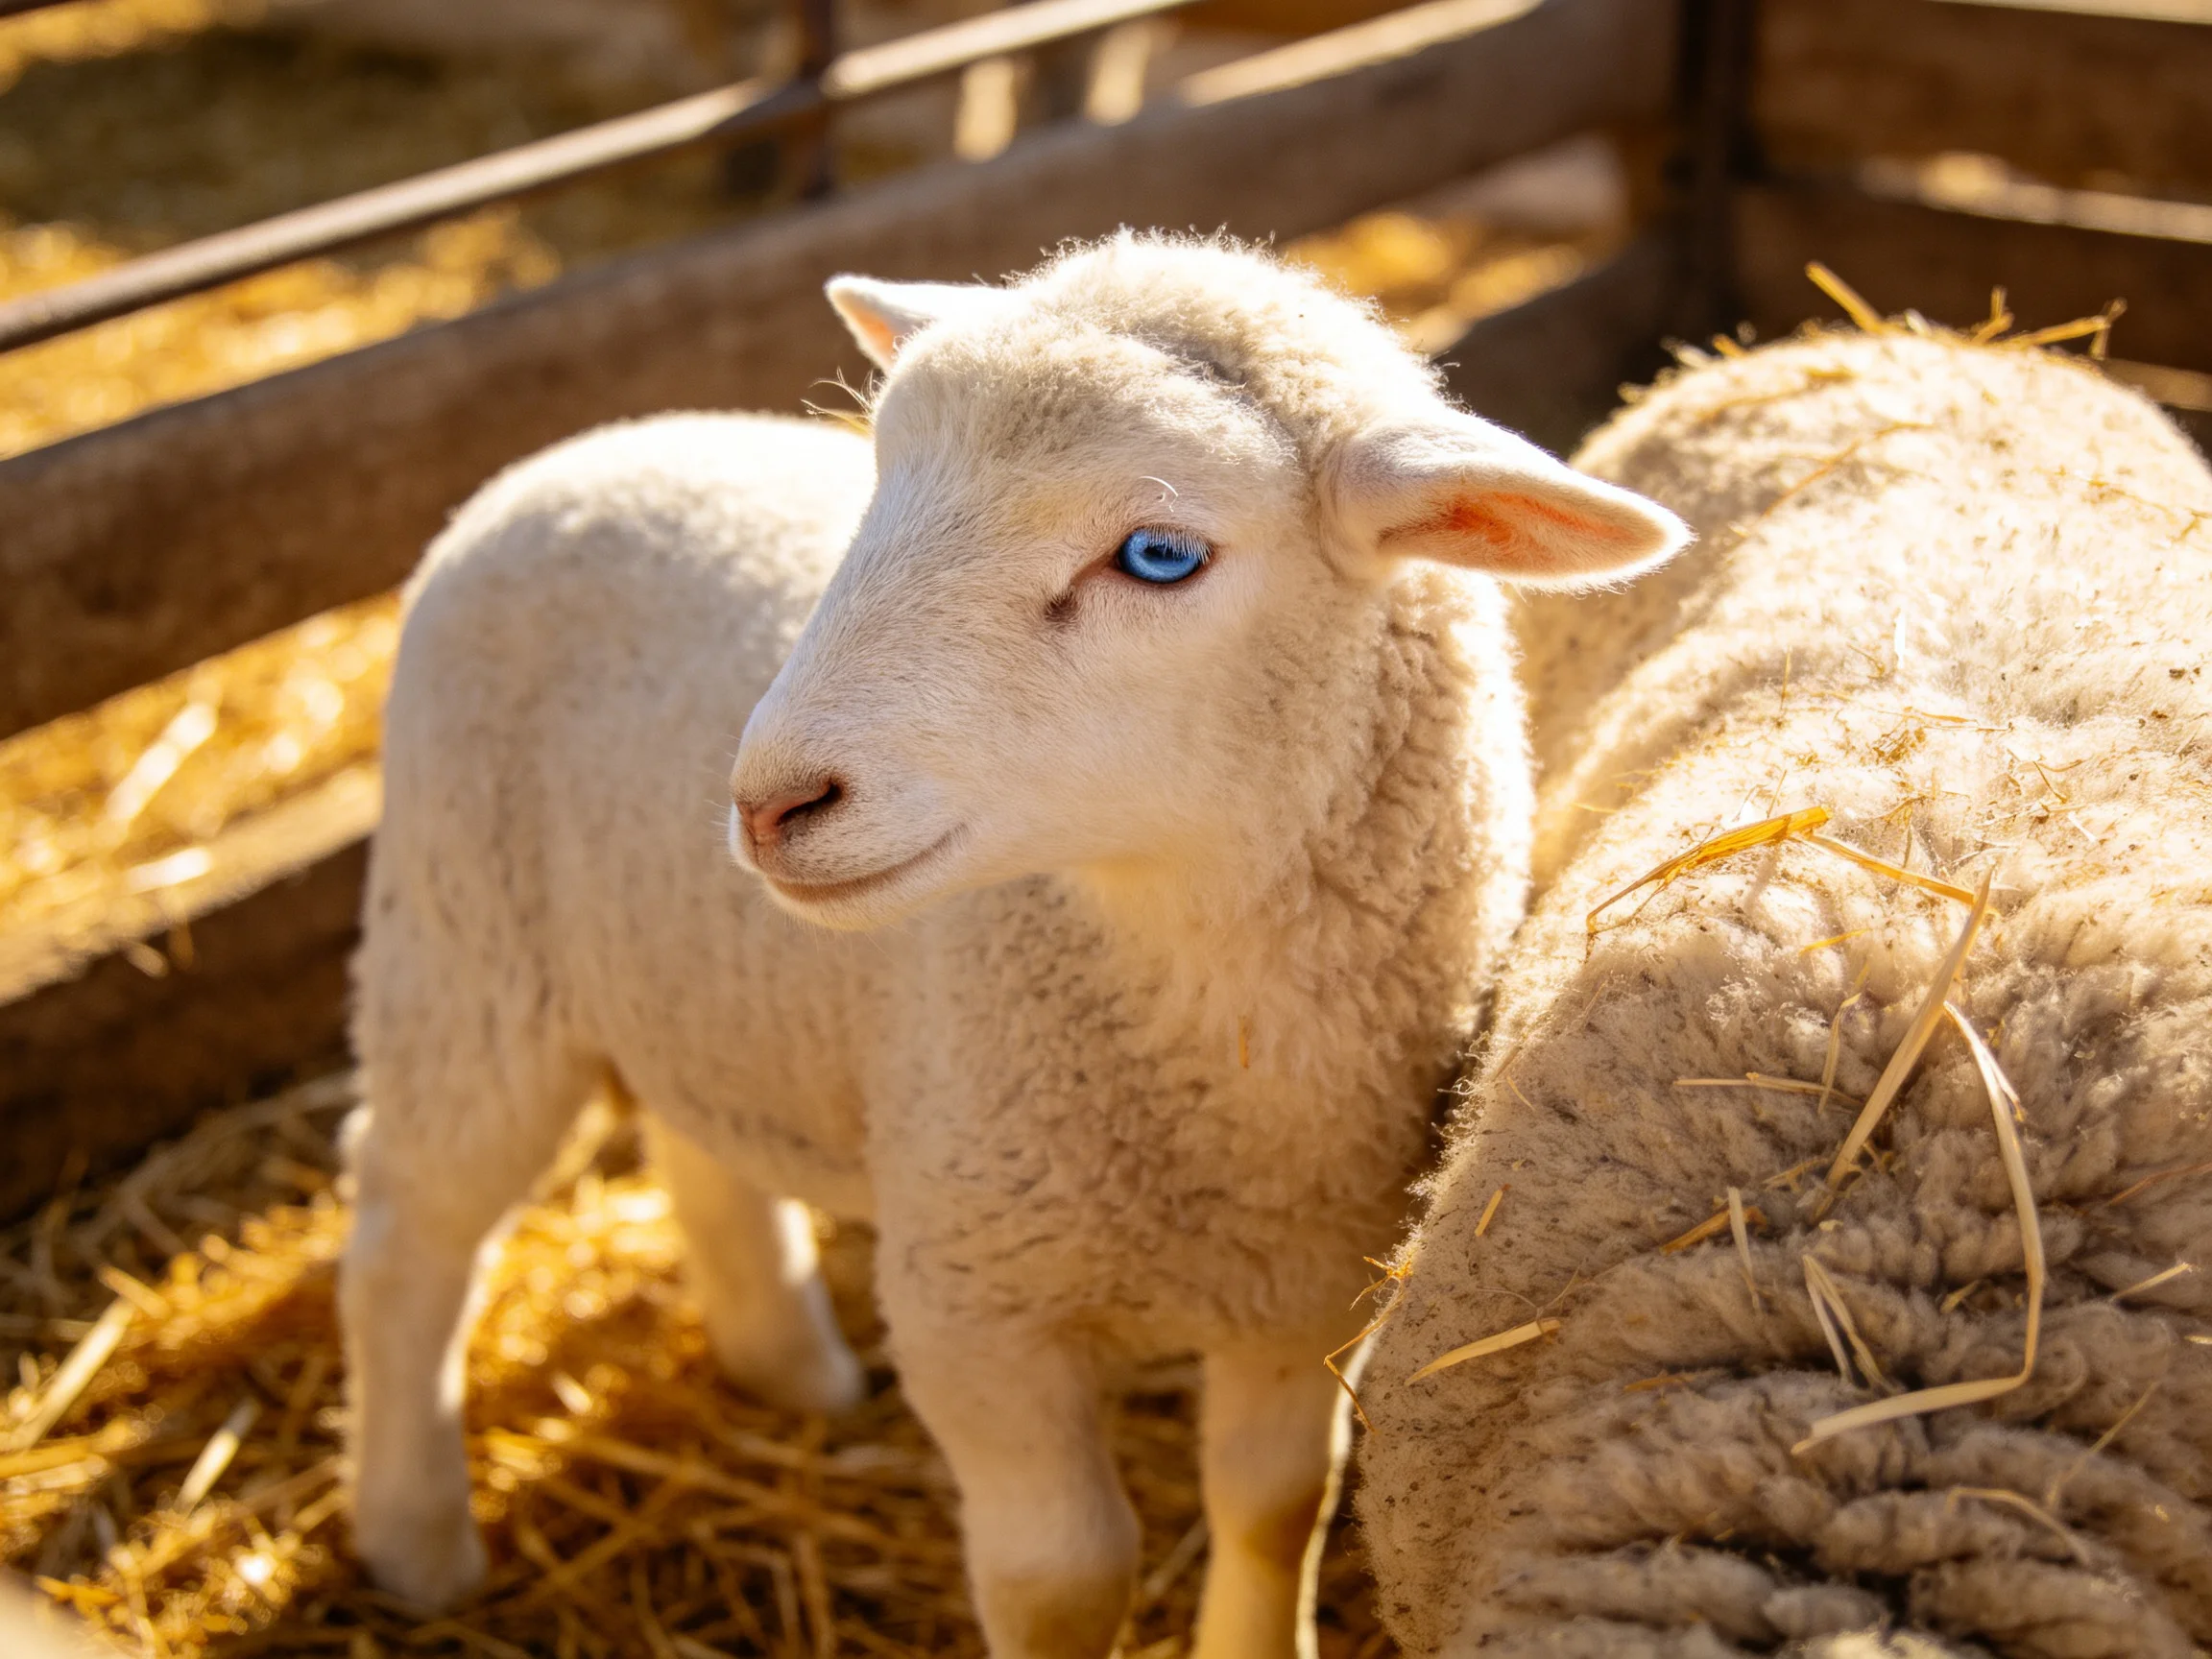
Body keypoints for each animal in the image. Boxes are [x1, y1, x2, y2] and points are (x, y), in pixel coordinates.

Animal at [338, 233, 1686, 1659]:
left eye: (1158, 554)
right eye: (880, 475)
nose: (770, 802)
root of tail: (588, 444)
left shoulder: (1309, 1287)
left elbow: (1276, 1507)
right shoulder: (976, 1307)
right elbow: (1066, 1579)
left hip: (674, 966)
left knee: (690, 1136)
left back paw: (788, 1366)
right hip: (464, 940)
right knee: (407, 1232)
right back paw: (416, 1543)